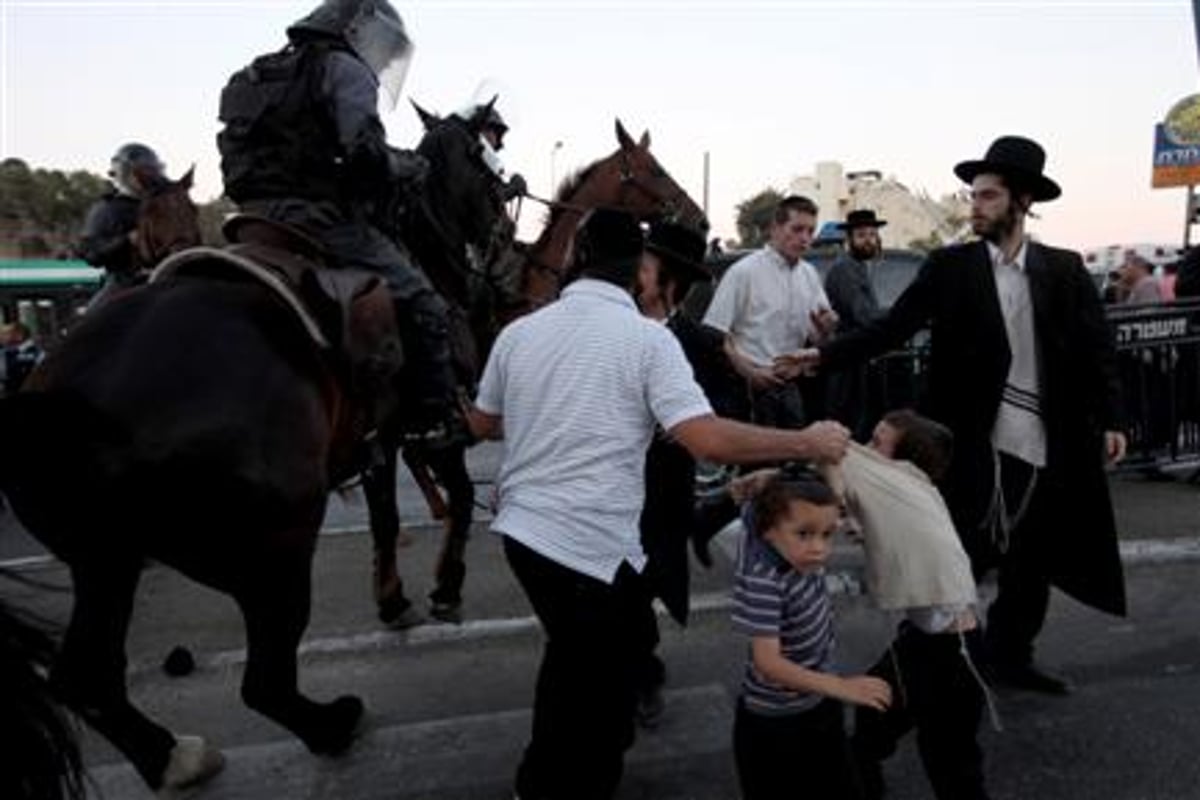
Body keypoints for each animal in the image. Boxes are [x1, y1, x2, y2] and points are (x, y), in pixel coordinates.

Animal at [0, 176, 372, 796]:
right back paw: (328, 726)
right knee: (266, 681)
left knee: (85, 676)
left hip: (106, 560)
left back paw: (171, 759)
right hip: (271, 552)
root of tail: (62, 403)